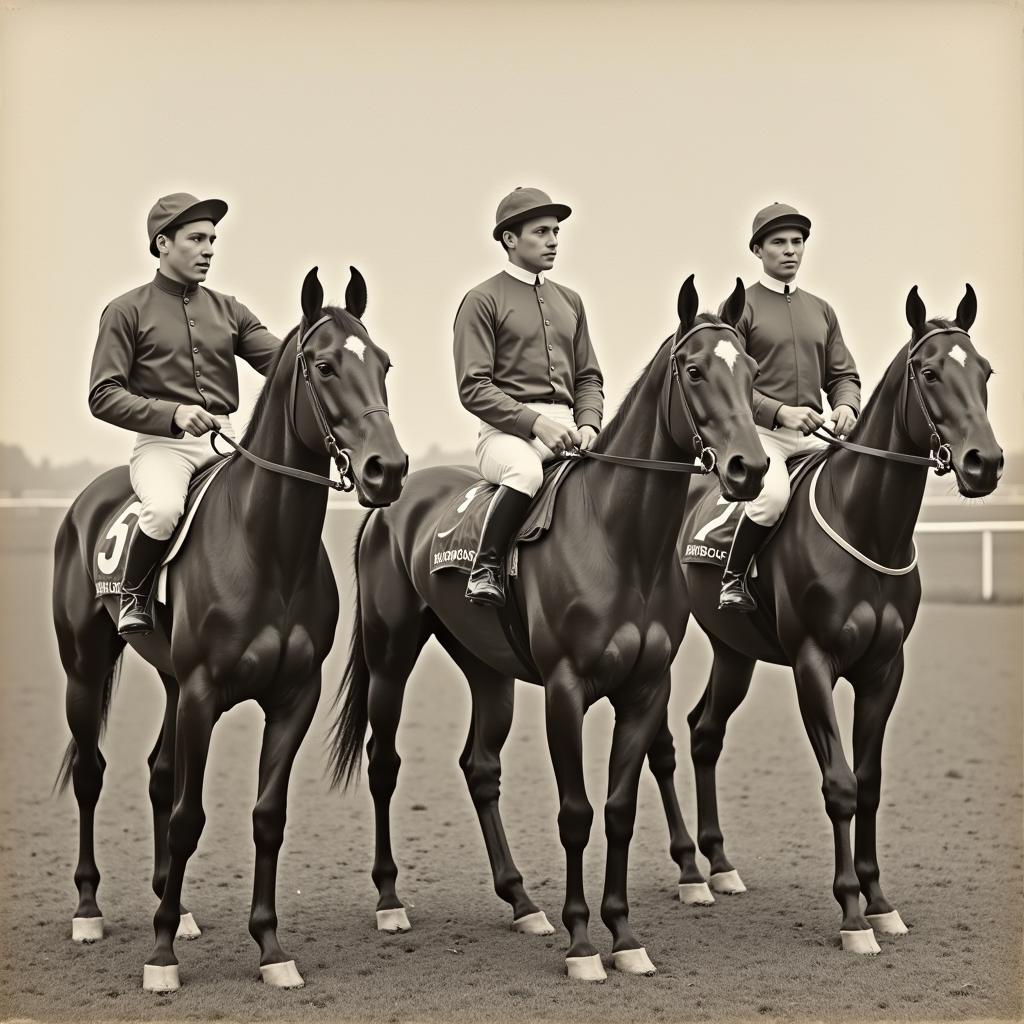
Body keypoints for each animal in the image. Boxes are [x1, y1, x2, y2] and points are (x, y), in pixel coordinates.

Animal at [52, 268, 407, 987]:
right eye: (325, 365)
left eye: (383, 364)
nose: (388, 469)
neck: (266, 548)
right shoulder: (202, 693)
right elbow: (188, 816)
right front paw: (161, 954)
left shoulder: (292, 696)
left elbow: (266, 816)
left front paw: (269, 948)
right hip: (84, 668)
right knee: (93, 772)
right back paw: (89, 910)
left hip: (164, 678)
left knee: (157, 771)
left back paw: (175, 904)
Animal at [327, 276, 770, 978]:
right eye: (696, 370)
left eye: (751, 370)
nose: (749, 469)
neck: (621, 541)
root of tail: (392, 500)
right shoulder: (566, 690)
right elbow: (575, 813)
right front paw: (583, 942)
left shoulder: (644, 689)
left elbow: (618, 810)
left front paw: (626, 937)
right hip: (391, 657)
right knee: (383, 762)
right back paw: (390, 902)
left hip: (488, 670)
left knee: (479, 766)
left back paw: (521, 902)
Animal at [655, 286, 999, 950]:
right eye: (930, 372)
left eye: (986, 372)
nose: (986, 463)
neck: (864, 525)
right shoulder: (812, 662)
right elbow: (840, 783)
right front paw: (852, 913)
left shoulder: (883, 668)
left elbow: (869, 781)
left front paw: (881, 902)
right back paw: (688, 869)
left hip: (733, 652)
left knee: (704, 731)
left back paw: (719, 865)